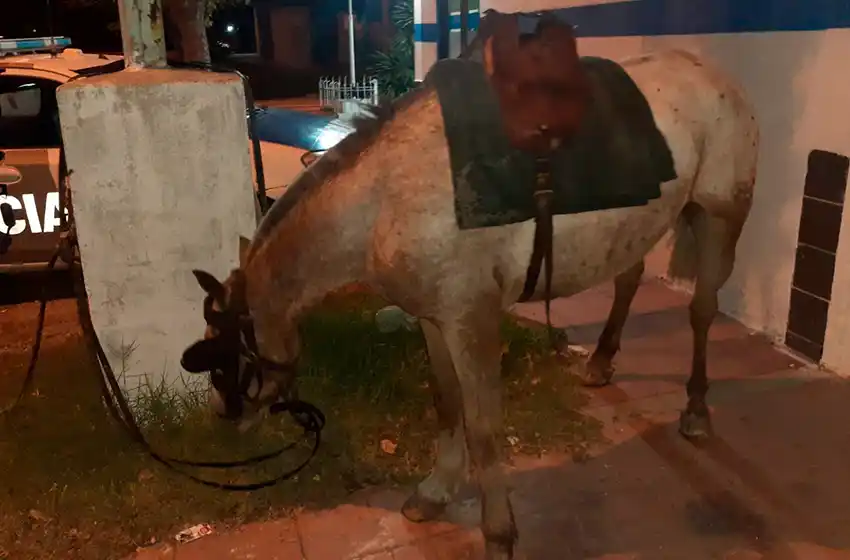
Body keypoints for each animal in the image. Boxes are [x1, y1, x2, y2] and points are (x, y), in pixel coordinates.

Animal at [180, 15, 759, 560]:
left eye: (228, 355)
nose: (223, 419)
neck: (383, 200)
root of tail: (715, 78)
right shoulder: (435, 319)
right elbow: (446, 403)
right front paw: (435, 492)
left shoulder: (472, 320)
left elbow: (484, 430)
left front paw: (498, 534)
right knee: (630, 278)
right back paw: (600, 361)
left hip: (719, 216)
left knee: (702, 310)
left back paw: (696, 410)